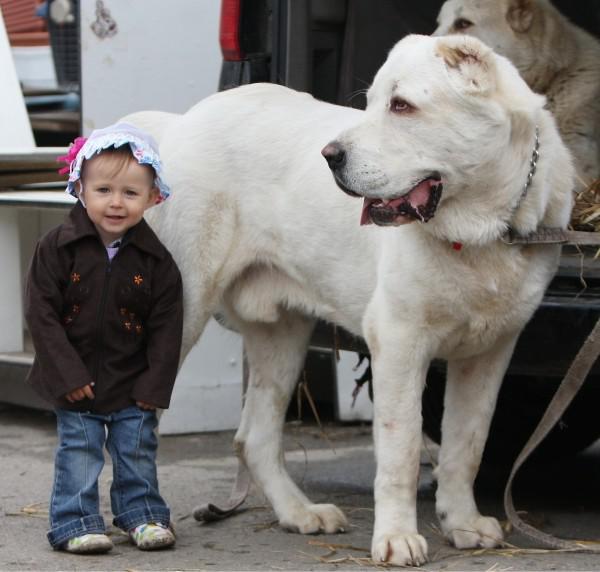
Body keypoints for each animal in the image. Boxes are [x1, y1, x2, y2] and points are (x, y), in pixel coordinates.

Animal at [125, 35, 572, 568]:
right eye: (372, 102)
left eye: (402, 106)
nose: (330, 155)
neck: (480, 233)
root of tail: (182, 121)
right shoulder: (398, 343)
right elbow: (401, 449)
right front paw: (397, 538)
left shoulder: (490, 353)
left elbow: (467, 444)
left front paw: (462, 523)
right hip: (184, 311)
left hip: (283, 335)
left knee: (254, 437)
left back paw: (300, 513)